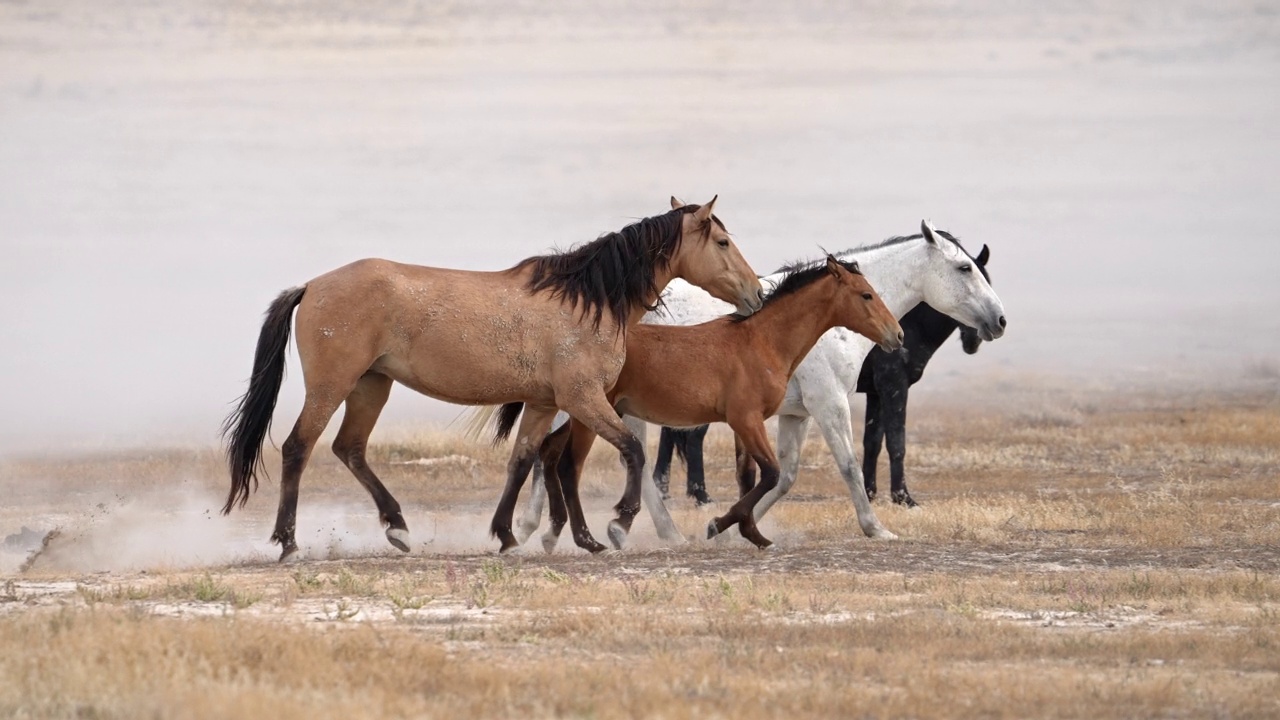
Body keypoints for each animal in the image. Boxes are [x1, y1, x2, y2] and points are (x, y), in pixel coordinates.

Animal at [221, 197, 762, 561]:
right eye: (722, 241)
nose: (756, 293)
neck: (586, 302)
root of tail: (312, 286)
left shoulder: (544, 404)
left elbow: (522, 462)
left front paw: (508, 535)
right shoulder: (583, 399)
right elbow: (631, 450)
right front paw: (616, 524)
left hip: (372, 386)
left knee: (349, 449)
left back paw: (397, 527)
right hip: (332, 386)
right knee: (298, 448)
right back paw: (289, 542)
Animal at [483, 254, 906, 550]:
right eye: (866, 294)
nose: (898, 335)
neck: (761, 342)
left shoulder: (754, 422)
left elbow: (755, 476)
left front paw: (750, 534)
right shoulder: (745, 419)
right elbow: (769, 474)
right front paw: (720, 525)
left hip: (582, 415)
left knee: (550, 454)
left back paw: (552, 534)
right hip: (590, 415)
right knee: (569, 464)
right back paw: (604, 532)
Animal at [655, 243, 993, 507]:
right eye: (965, 269)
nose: (997, 320)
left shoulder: (871, 393)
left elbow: (873, 441)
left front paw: (871, 493)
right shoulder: (885, 388)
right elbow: (895, 441)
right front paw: (903, 498)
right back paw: (692, 495)